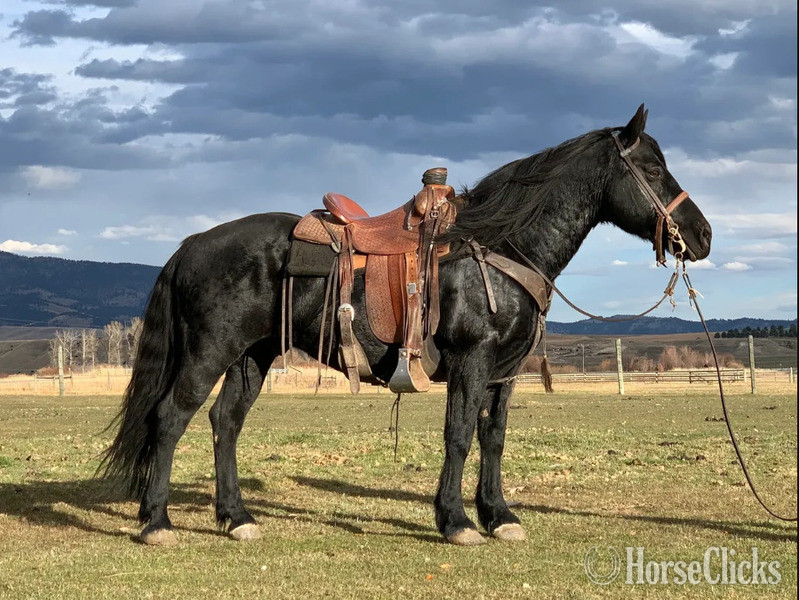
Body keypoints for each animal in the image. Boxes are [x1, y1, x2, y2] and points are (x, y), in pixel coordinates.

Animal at [101, 105, 712, 546]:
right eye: (653, 170)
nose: (702, 235)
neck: (501, 245)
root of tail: (192, 245)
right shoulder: (472, 362)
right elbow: (459, 435)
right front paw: (457, 521)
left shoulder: (505, 372)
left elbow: (493, 437)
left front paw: (499, 516)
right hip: (210, 352)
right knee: (170, 418)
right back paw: (156, 523)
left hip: (253, 355)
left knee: (225, 422)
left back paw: (237, 517)